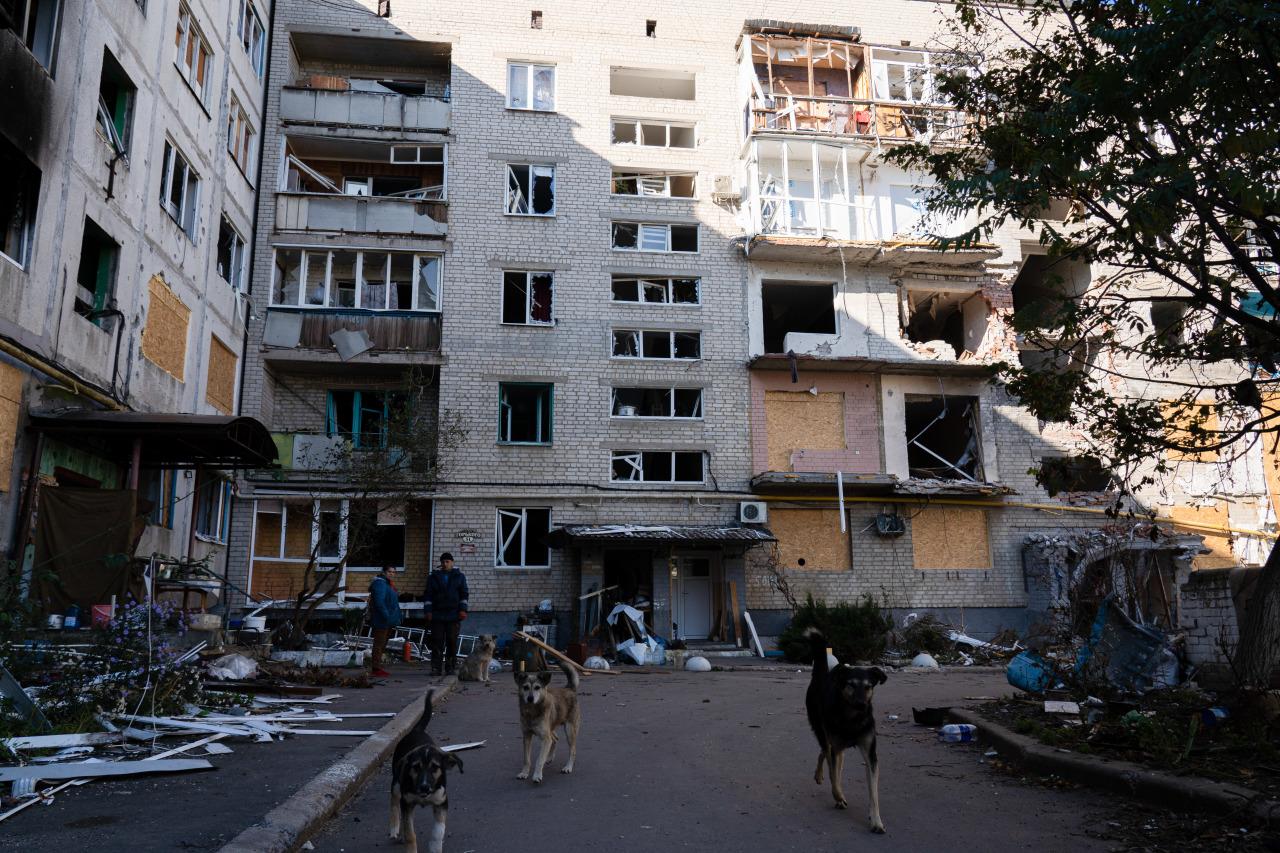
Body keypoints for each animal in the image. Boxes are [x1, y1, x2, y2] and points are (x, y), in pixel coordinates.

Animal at [391, 686, 468, 845]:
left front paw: (435, 844)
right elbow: (410, 833)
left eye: (435, 768)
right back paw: (394, 828)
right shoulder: (406, 802)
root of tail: (416, 730)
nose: (425, 787)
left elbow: (438, 831)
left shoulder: (441, 802)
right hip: (396, 780)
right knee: (394, 800)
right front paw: (408, 840)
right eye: (415, 767)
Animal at [803, 625, 885, 829]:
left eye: (868, 686)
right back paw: (823, 778)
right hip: (821, 729)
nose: (861, 704)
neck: (852, 719)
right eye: (851, 685)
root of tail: (823, 675)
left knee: (826, 754)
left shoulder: (870, 754)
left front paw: (876, 821)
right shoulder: (836, 746)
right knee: (826, 752)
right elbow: (834, 781)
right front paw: (839, 797)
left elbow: (873, 792)